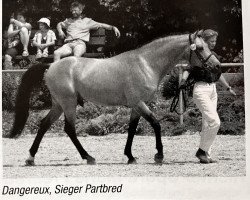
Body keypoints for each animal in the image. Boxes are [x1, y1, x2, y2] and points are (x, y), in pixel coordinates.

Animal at [8, 29, 221, 164]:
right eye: (200, 48)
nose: (217, 67)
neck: (145, 63)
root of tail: (51, 66)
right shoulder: (139, 103)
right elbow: (156, 124)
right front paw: (159, 156)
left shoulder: (136, 106)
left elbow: (132, 129)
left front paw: (130, 156)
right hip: (68, 104)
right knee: (69, 129)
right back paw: (88, 157)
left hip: (59, 104)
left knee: (44, 124)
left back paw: (31, 158)